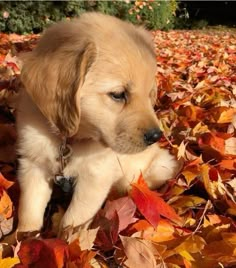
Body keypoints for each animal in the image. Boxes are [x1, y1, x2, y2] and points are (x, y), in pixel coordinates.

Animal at [17, 12, 179, 234]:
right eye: (118, 94)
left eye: (149, 94)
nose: (156, 136)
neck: (68, 140)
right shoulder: (33, 166)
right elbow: (29, 212)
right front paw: (19, 239)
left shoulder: (95, 177)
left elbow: (73, 220)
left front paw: (68, 239)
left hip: (161, 165)